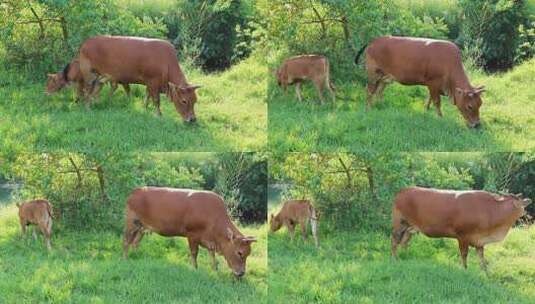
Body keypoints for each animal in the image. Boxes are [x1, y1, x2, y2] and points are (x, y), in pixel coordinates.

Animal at [123, 186, 258, 280]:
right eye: (239, 252)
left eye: (248, 253)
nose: (241, 273)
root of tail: (136, 191)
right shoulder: (192, 235)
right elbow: (194, 253)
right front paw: (194, 269)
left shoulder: (210, 241)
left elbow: (212, 255)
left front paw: (214, 270)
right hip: (131, 223)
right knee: (126, 241)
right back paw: (125, 259)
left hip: (141, 227)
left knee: (135, 243)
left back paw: (137, 256)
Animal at [356, 36, 486, 127]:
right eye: (469, 106)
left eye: (480, 104)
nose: (477, 124)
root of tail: (374, 41)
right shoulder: (433, 82)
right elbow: (437, 101)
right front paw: (440, 117)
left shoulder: (433, 85)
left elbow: (429, 98)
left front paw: (426, 109)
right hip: (373, 73)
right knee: (369, 91)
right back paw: (368, 109)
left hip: (385, 77)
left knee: (379, 91)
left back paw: (381, 105)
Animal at [394, 186, 532, 272]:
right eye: (521, 204)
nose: (526, 214)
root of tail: (403, 191)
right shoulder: (462, 236)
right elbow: (464, 254)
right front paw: (464, 269)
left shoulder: (479, 241)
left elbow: (482, 258)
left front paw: (486, 273)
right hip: (399, 222)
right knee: (395, 240)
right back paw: (394, 258)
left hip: (410, 227)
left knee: (404, 242)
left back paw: (406, 257)